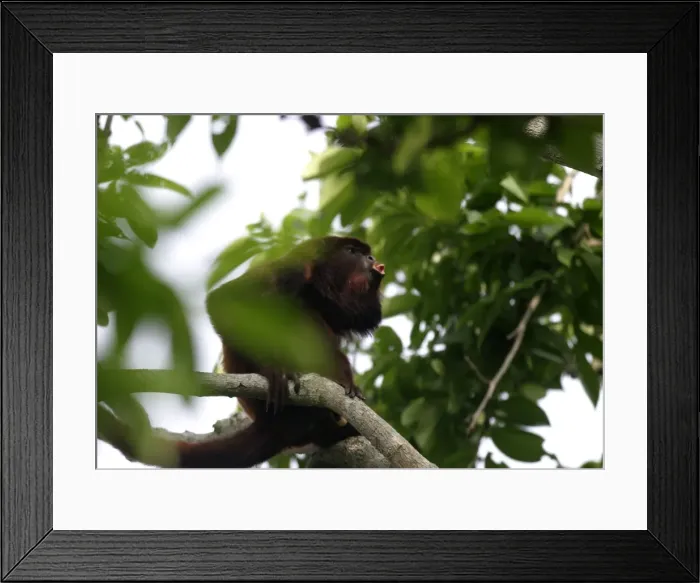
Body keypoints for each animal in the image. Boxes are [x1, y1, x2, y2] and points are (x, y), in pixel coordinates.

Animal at [174, 235, 385, 468]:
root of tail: (273, 427)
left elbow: (357, 317)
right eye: (352, 251)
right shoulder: (289, 269)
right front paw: (271, 371)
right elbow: (223, 301)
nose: (371, 258)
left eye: (367, 253)